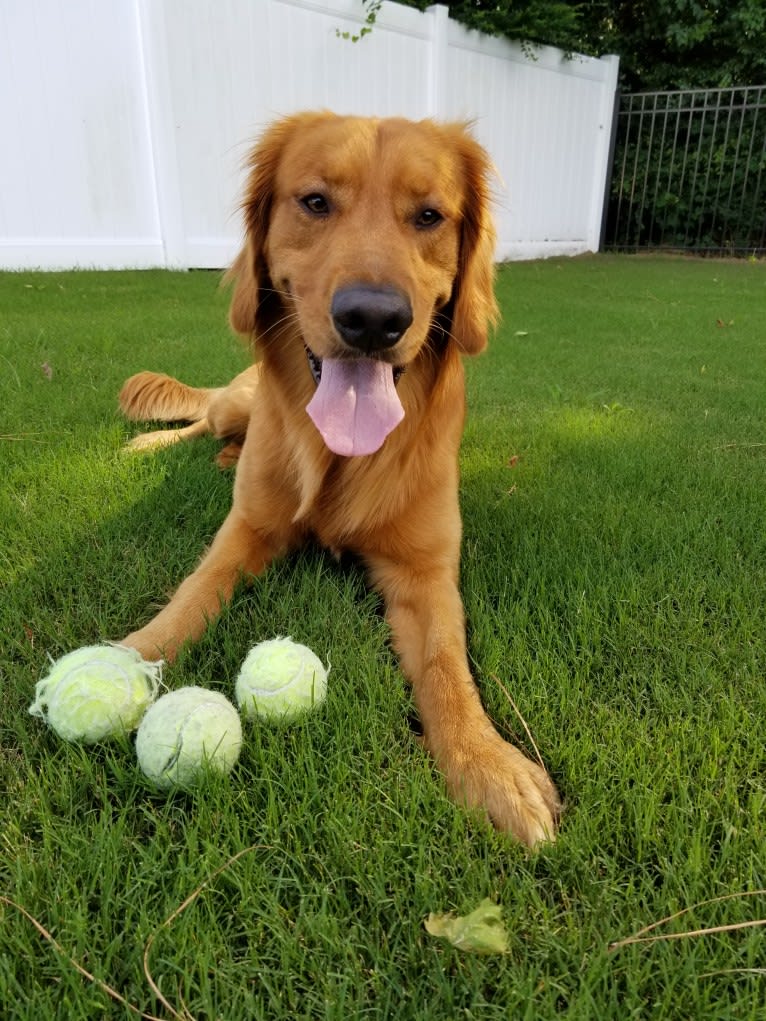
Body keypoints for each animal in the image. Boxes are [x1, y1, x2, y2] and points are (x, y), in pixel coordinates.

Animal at [116, 111, 559, 845]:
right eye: (316, 202)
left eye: (430, 215)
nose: (373, 318)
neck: (341, 455)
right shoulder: (244, 531)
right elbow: (190, 594)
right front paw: (124, 658)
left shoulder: (425, 570)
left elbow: (447, 665)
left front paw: (489, 762)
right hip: (237, 403)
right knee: (203, 419)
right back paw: (157, 445)